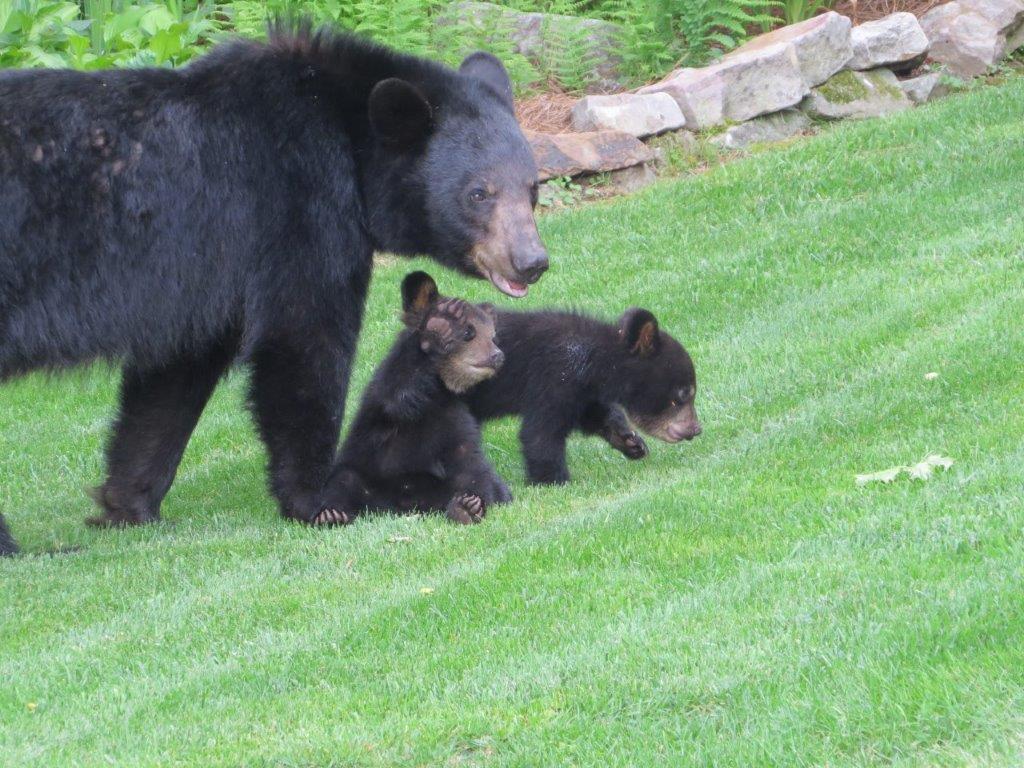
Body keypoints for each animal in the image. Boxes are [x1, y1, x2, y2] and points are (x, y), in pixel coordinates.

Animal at [318, 272, 511, 526]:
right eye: (469, 332)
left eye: (493, 336)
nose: (497, 356)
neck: (442, 388)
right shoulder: (391, 385)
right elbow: (398, 397)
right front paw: (439, 328)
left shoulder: (462, 412)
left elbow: (471, 461)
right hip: (366, 470)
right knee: (344, 481)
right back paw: (331, 514)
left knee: (479, 479)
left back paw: (466, 507)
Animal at [462, 308, 702, 485]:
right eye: (683, 394)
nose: (695, 429)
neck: (592, 359)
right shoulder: (553, 375)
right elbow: (541, 431)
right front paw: (553, 480)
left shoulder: (582, 391)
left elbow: (594, 414)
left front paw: (631, 442)